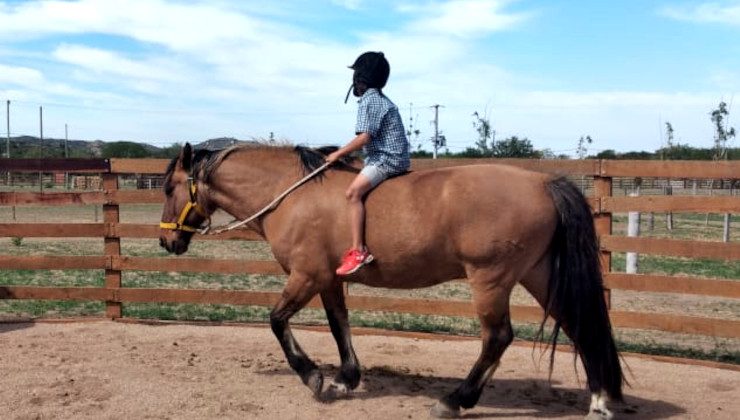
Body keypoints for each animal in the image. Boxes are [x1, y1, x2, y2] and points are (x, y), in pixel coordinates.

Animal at [159, 143, 620, 418]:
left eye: (168, 187)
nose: (166, 240)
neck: (290, 194)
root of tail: (543, 181)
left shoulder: (307, 276)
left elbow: (276, 321)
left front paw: (313, 377)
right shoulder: (329, 279)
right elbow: (339, 324)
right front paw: (346, 378)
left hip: (491, 279)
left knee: (498, 338)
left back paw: (455, 400)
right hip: (537, 275)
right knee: (580, 326)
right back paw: (599, 401)